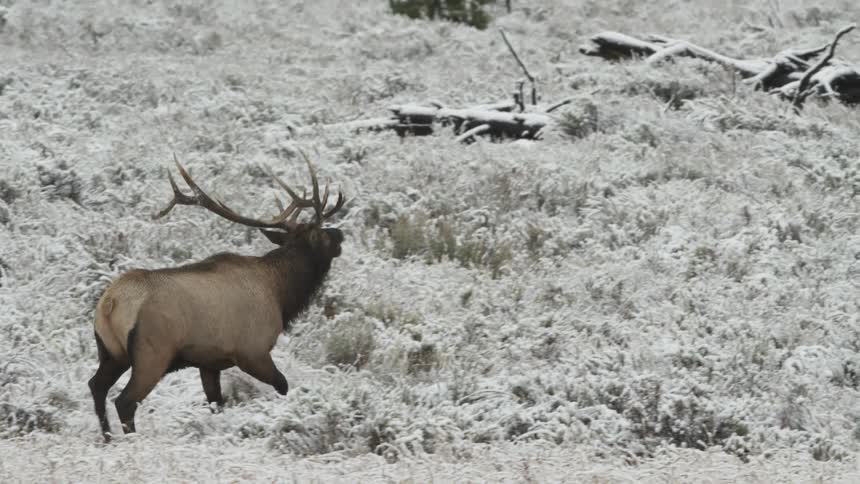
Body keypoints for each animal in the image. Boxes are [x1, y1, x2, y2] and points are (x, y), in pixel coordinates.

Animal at [87, 154, 345, 442]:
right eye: (322, 233)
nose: (340, 234)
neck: (281, 294)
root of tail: (110, 304)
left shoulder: (209, 362)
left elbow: (215, 402)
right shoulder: (252, 351)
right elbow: (283, 385)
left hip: (111, 352)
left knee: (96, 386)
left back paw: (107, 437)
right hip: (152, 354)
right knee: (125, 400)